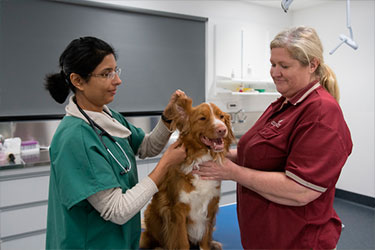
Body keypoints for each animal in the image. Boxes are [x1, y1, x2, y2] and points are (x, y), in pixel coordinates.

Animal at [141, 94, 235, 249]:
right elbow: (182, 242)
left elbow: (205, 240)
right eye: (202, 118)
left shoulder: (210, 207)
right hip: (151, 213)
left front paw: (208, 244)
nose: (222, 129)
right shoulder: (178, 211)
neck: (200, 159)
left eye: (221, 116)